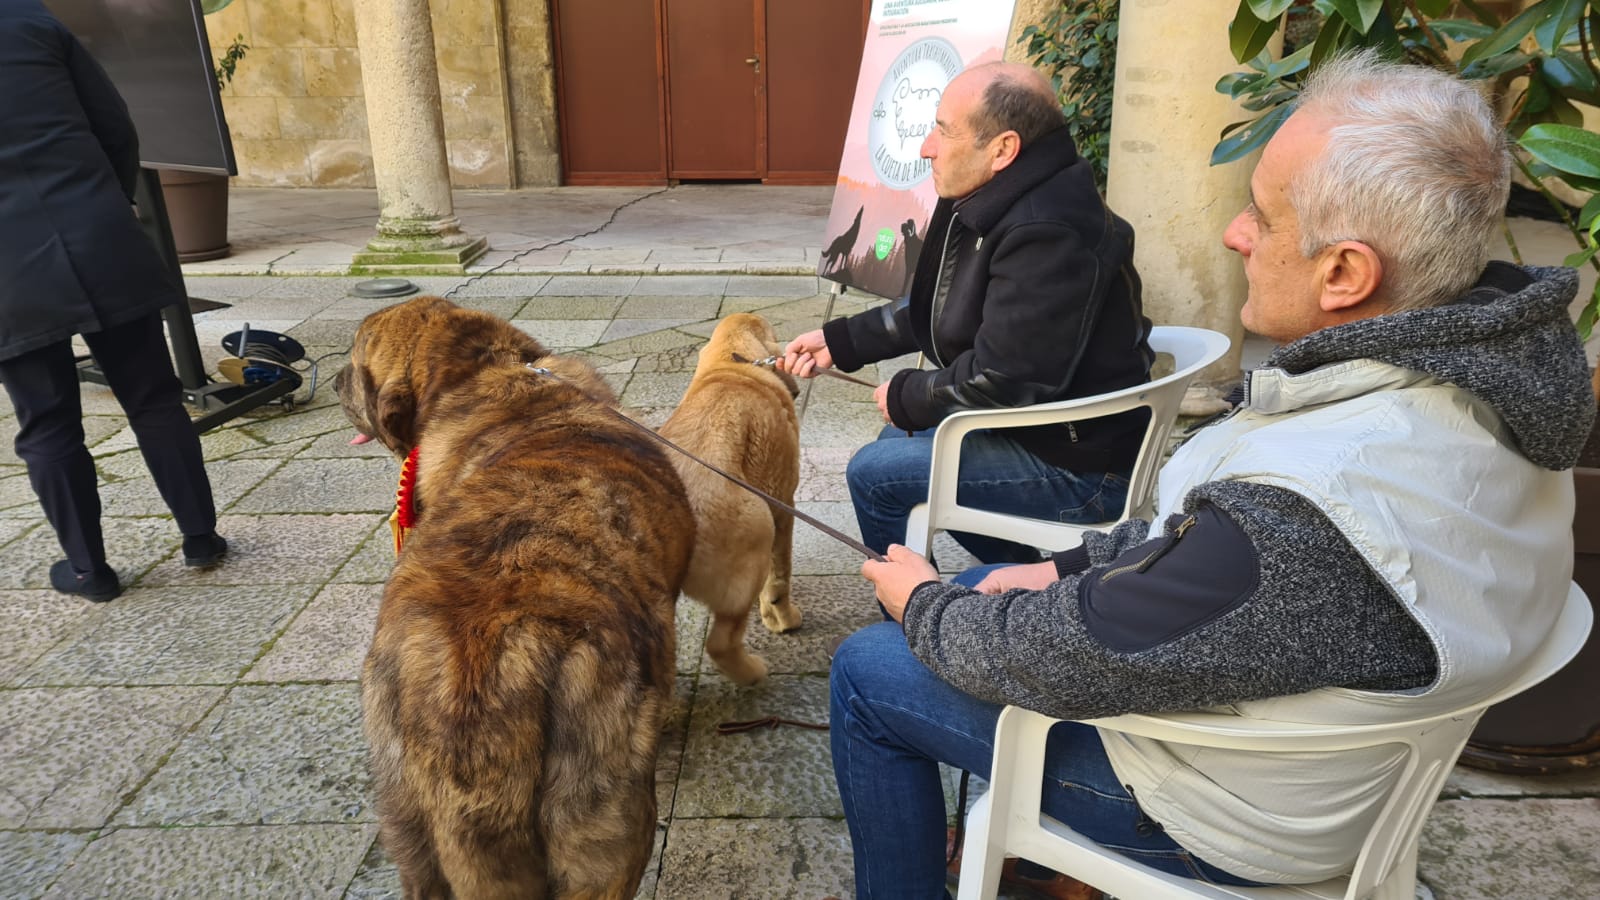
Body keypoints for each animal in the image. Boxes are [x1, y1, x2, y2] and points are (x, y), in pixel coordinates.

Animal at [334, 296, 691, 896]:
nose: (334, 381)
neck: (489, 371)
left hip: (412, 827)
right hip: (603, 827)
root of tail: (476, 672)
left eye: (356, 360)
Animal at [656, 312, 800, 682]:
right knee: (721, 642)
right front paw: (782, 618)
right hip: (758, 532)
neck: (732, 362)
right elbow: (780, 576)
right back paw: (753, 672)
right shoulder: (784, 507)